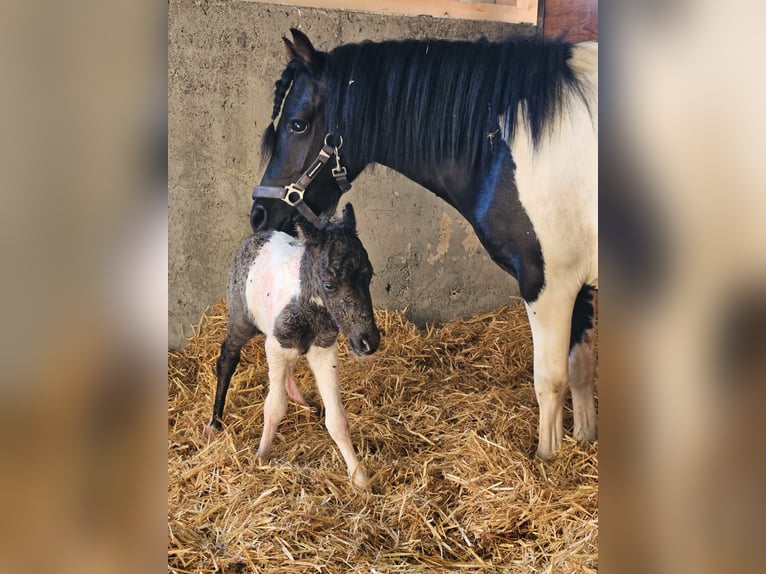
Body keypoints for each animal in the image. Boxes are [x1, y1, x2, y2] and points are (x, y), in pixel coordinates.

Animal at [207, 205, 380, 488]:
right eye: (329, 284)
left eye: (369, 275)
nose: (367, 342)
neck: (305, 304)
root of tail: (256, 235)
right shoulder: (275, 347)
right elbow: (274, 406)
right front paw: (261, 456)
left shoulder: (324, 350)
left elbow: (337, 419)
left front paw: (360, 478)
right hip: (241, 320)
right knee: (227, 358)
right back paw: (214, 423)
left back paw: (302, 400)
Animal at [252, 30, 600, 460]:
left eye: (298, 124)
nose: (260, 214)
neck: (511, 145)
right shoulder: (579, 286)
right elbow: (581, 367)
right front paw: (584, 440)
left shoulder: (549, 284)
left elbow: (551, 381)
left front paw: (546, 459)